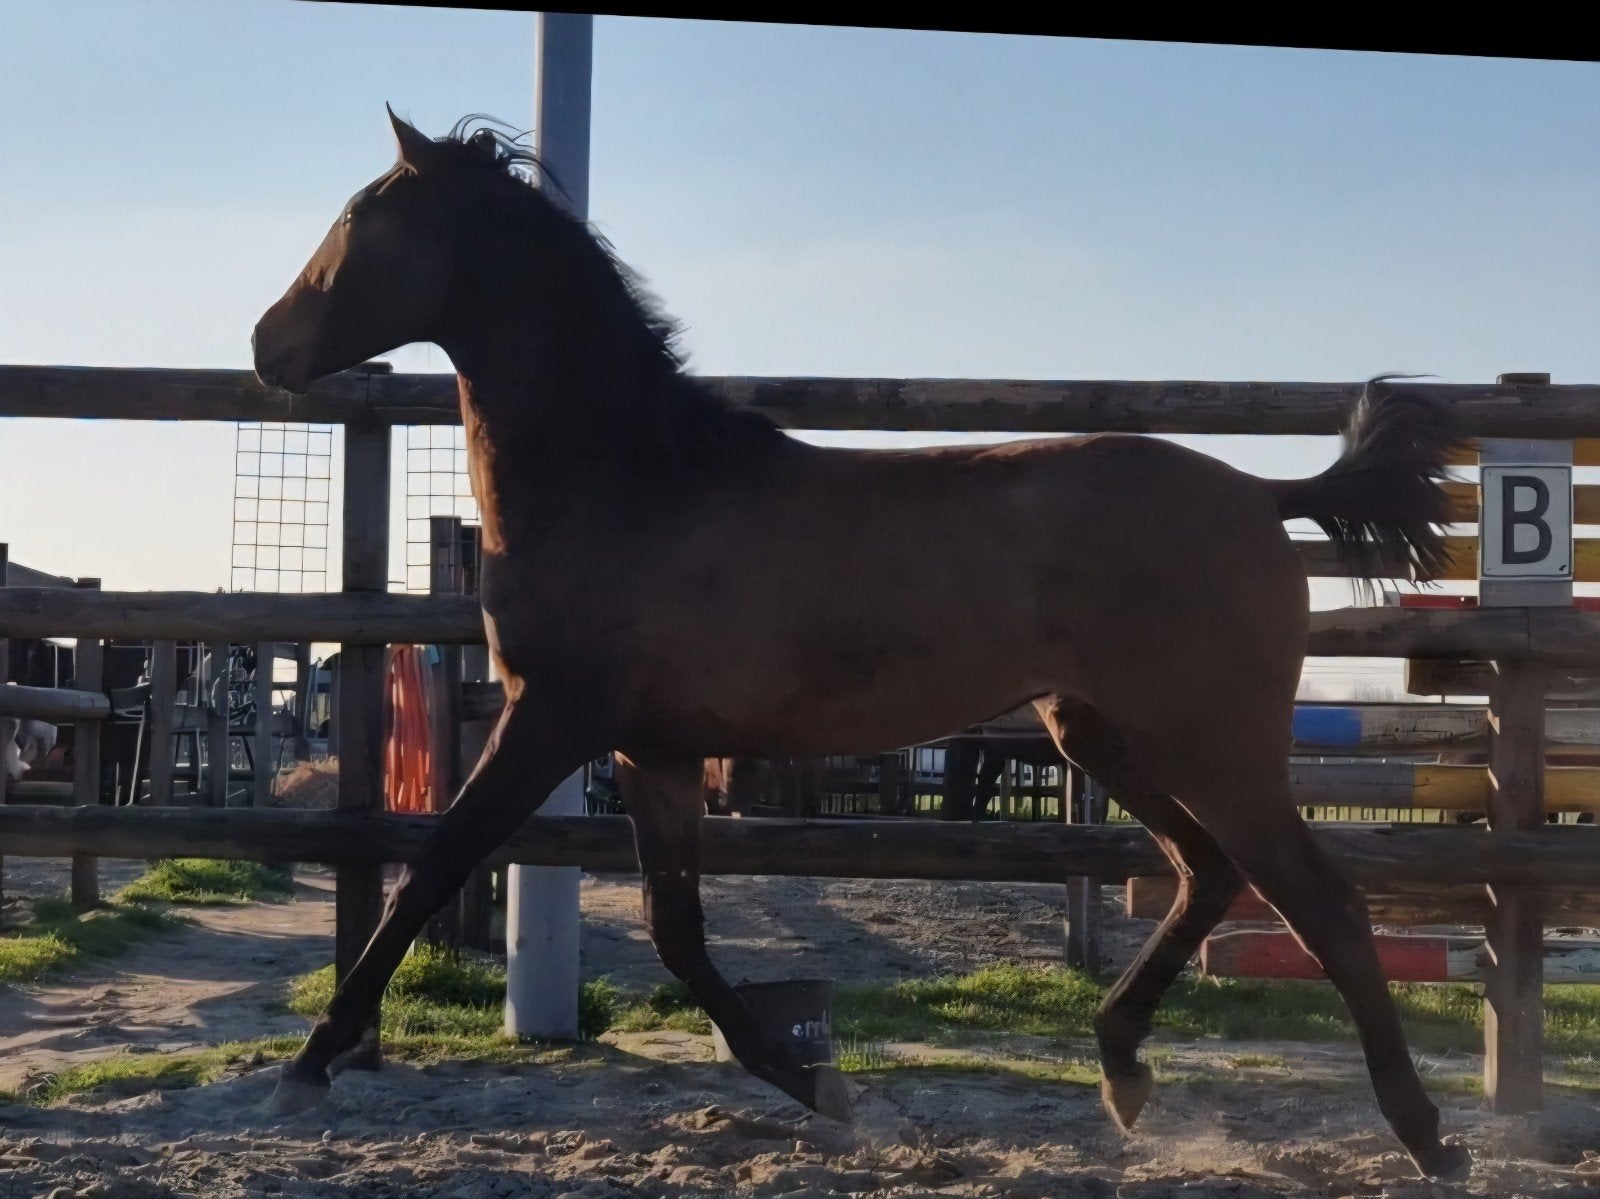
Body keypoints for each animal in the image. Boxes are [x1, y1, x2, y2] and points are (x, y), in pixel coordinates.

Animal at [251, 109, 1468, 1180]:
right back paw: (1125, 1075)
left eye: (360, 215)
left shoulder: (551, 718)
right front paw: (819, 1085)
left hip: (1214, 741)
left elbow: (435, 868)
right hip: (1102, 737)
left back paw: (1429, 1137)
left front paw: (308, 1066)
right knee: (1207, 871)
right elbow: (676, 930)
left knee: (1322, 902)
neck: (630, 481)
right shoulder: (654, 750)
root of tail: (1264, 495)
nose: (268, 343)